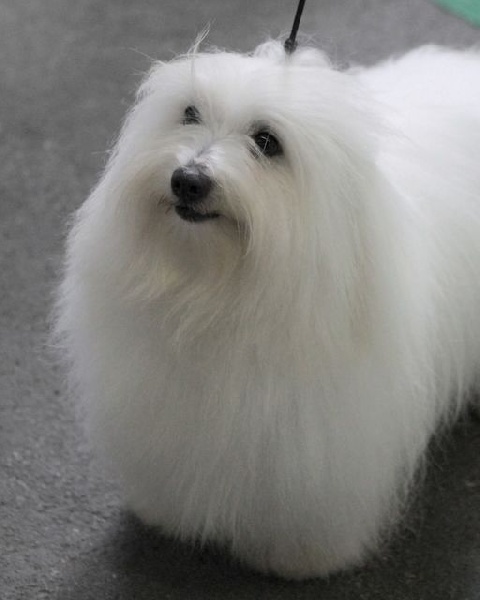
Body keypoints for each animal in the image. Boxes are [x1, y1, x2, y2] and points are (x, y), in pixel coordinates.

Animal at [56, 41, 480, 579]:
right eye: (189, 113)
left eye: (267, 141)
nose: (188, 179)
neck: (219, 291)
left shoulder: (317, 440)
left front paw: (299, 558)